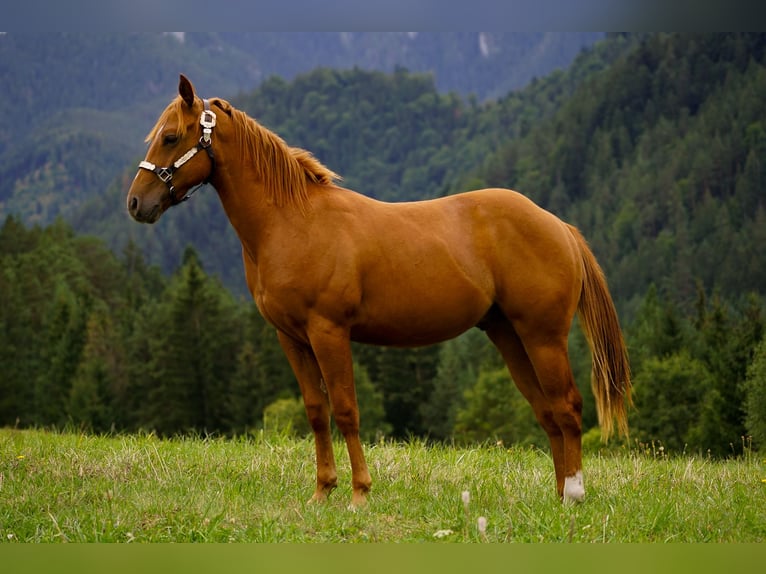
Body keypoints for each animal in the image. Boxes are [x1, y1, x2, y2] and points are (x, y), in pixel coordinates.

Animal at [127, 74, 631, 507]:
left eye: (171, 137)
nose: (136, 203)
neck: (292, 221)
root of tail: (558, 225)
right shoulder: (291, 338)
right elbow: (316, 411)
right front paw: (322, 492)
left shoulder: (329, 332)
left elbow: (347, 409)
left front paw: (359, 494)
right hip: (509, 336)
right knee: (546, 412)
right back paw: (558, 496)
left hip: (544, 336)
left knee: (568, 407)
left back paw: (575, 495)